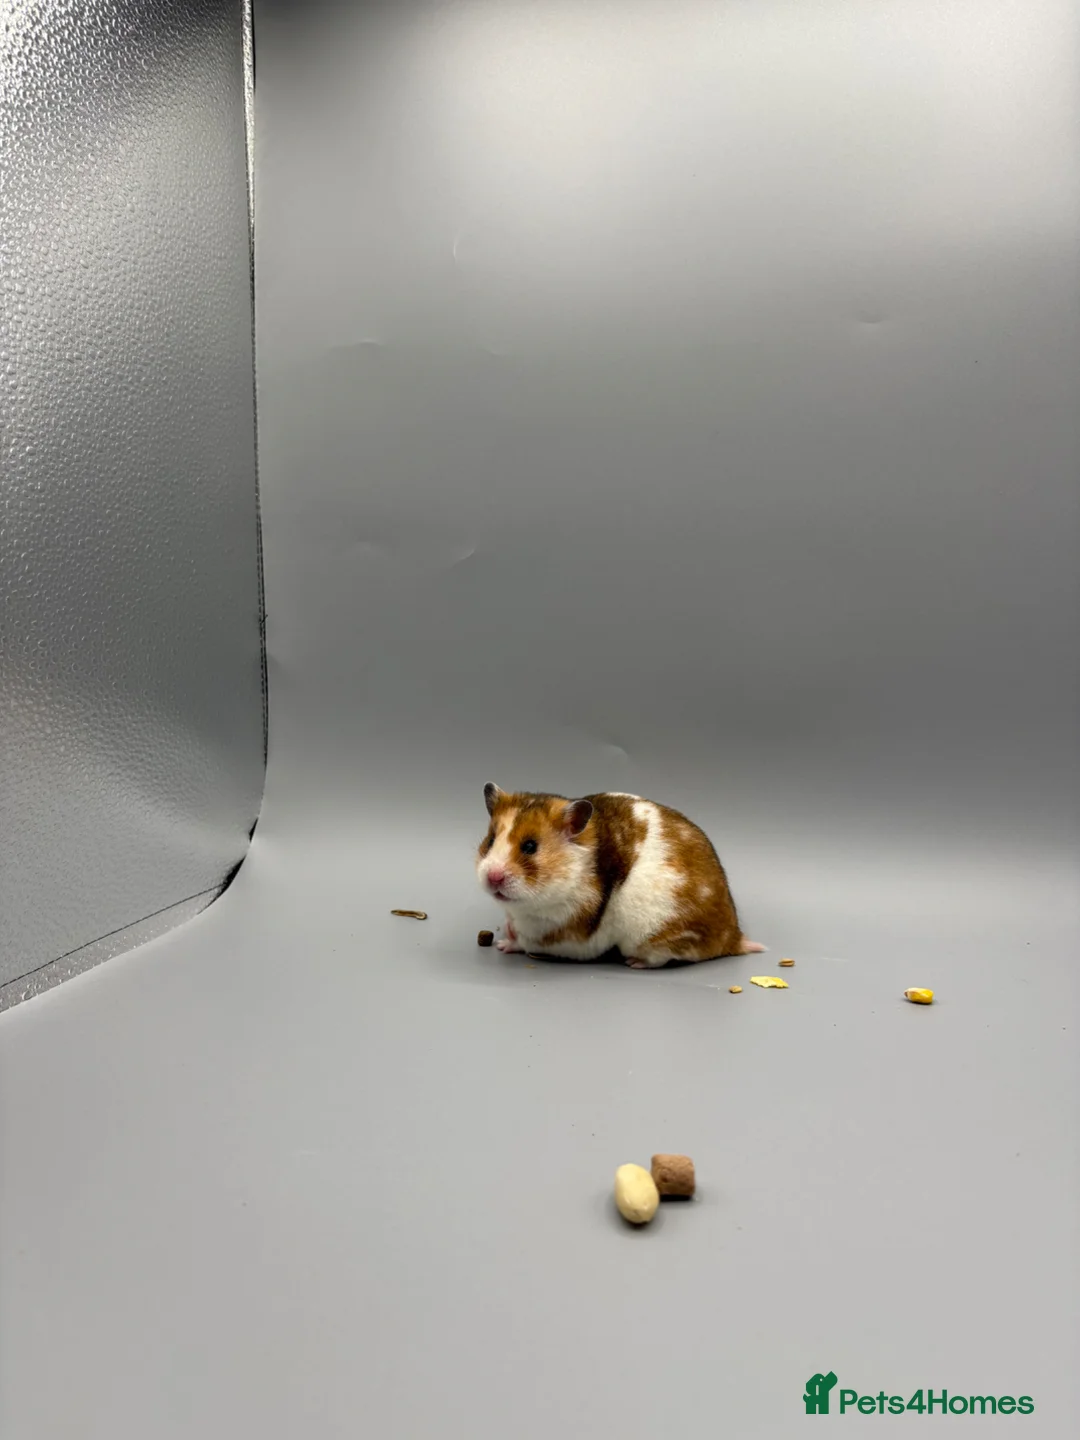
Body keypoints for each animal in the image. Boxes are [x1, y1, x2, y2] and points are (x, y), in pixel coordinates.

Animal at [476, 783, 765, 969]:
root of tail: (732, 937)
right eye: (490, 840)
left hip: (654, 938)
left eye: (530, 846)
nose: (492, 878)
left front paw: (505, 943)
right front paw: (505, 936)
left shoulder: (560, 935)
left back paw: (634, 963)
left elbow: (526, 941)